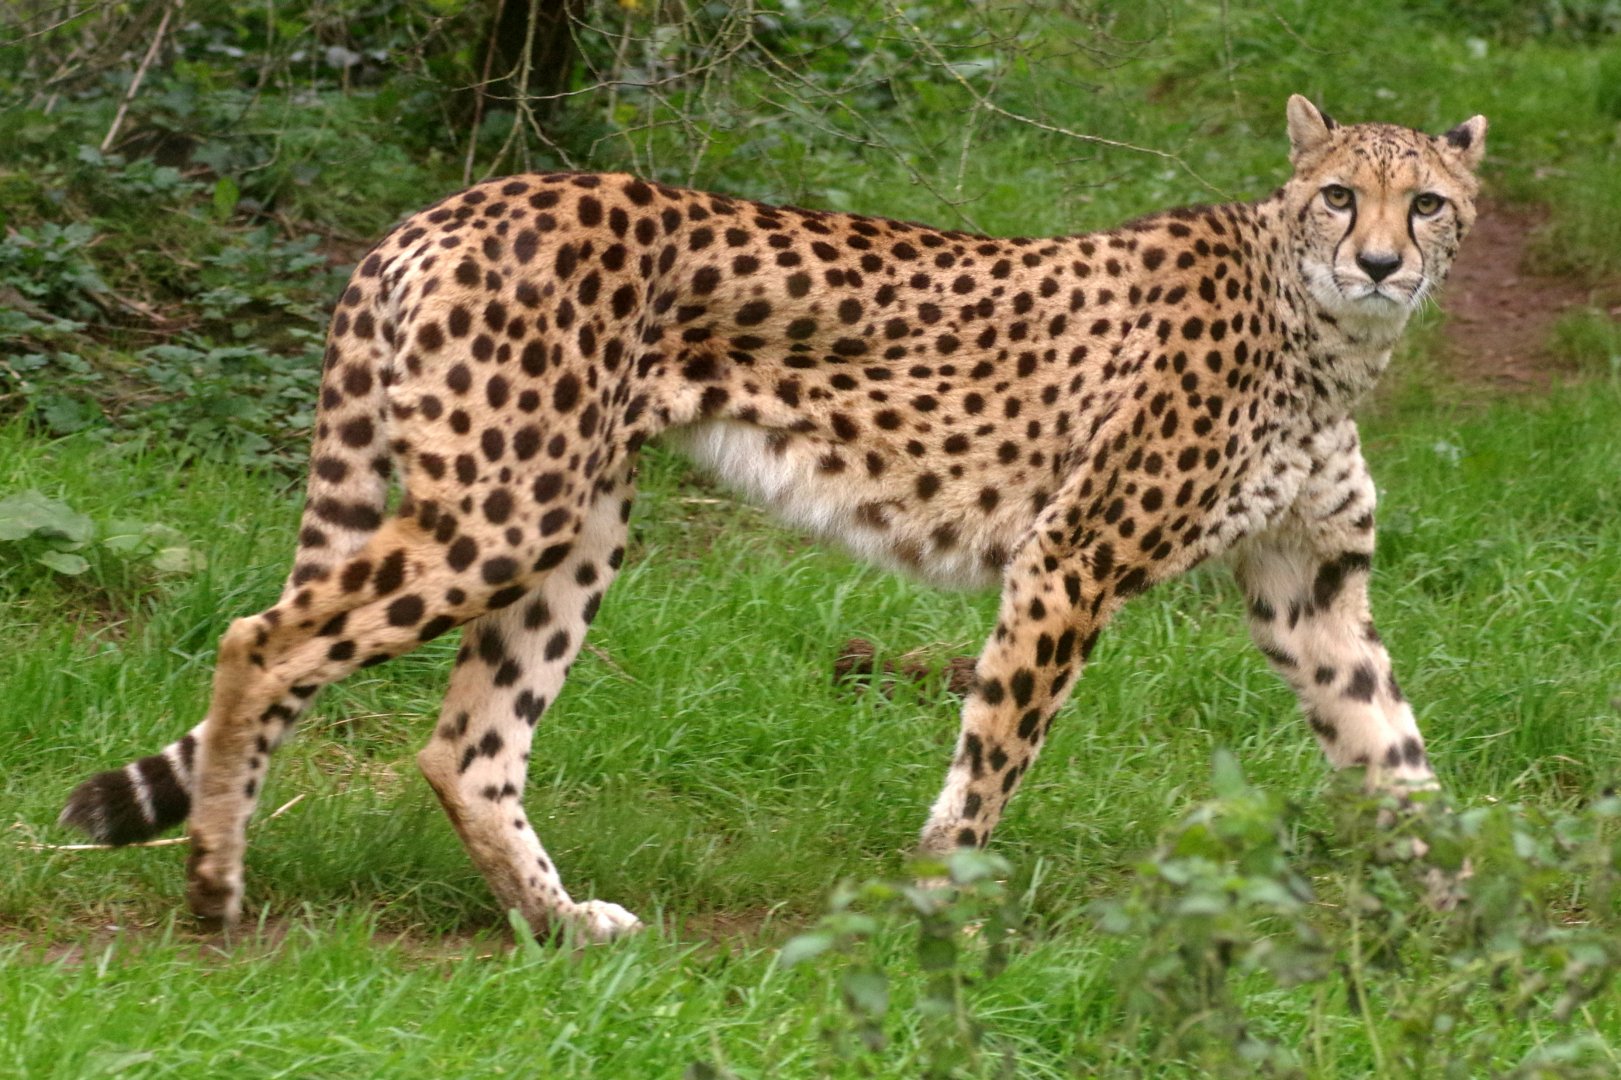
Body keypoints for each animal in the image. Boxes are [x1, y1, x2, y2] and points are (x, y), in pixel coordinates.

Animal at [60, 96, 1486, 941]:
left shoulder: (1310, 590)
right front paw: (943, 913)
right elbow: (993, 763)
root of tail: (456, 203)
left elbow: (1400, 761)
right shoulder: (1068, 563)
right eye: (1336, 196)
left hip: (576, 524)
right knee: (261, 639)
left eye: (1425, 203)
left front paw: (1481, 930)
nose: (1378, 262)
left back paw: (559, 927)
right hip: (504, 506)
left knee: (465, 745)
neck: (1323, 332)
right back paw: (215, 883)